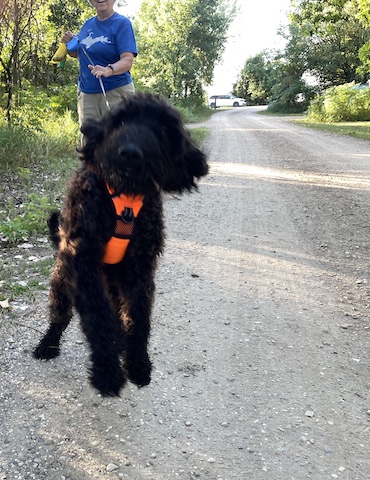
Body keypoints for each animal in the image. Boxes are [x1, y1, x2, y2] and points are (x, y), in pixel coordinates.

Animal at [32, 92, 208, 396]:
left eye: (162, 130)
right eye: (122, 120)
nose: (130, 152)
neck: (123, 197)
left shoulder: (140, 268)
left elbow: (138, 319)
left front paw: (137, 363)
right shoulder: (84, 265)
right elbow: (98, 318)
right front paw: (107, 372)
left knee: (118, 315)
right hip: (62, 285)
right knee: (60, 317)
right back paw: (48, 344)